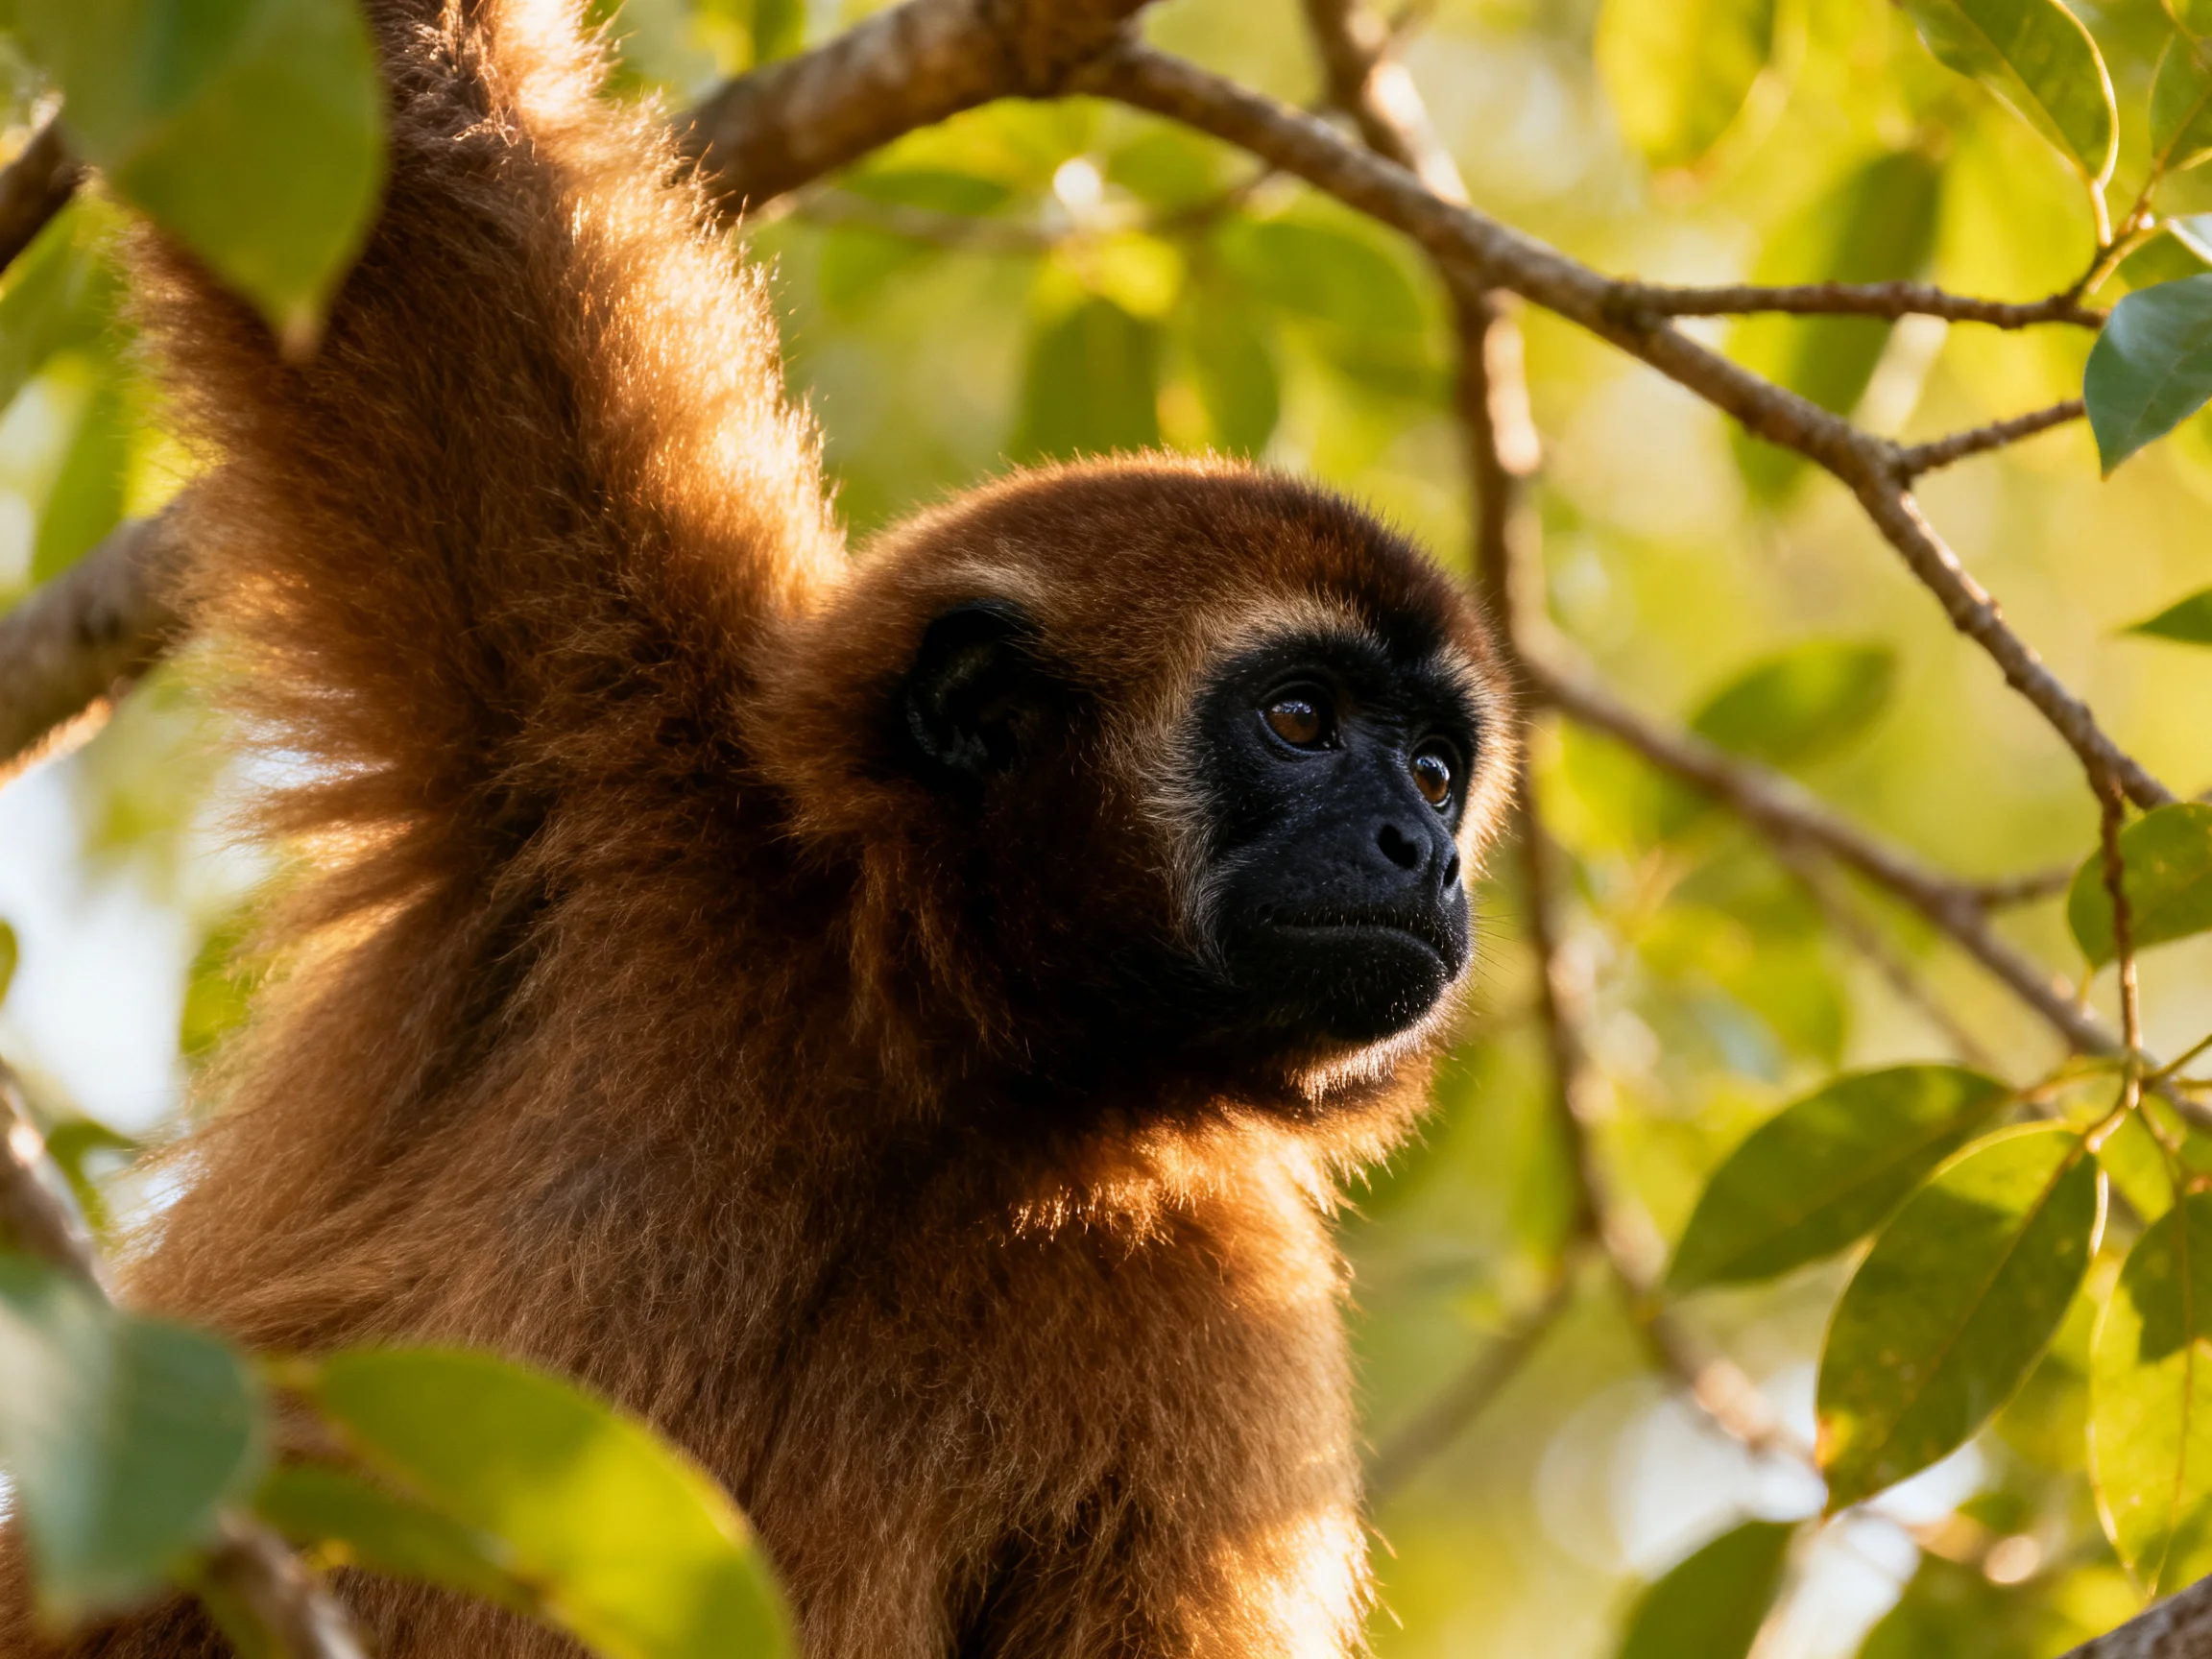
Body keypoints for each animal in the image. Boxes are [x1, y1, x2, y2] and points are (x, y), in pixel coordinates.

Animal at [0, 0, 1513, 1654]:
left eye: (1435, 772)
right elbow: (427, 139)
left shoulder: (1223, 1302)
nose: (1424, 855)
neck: (952, 1075)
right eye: (1301, 720)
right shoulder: (614, 735)